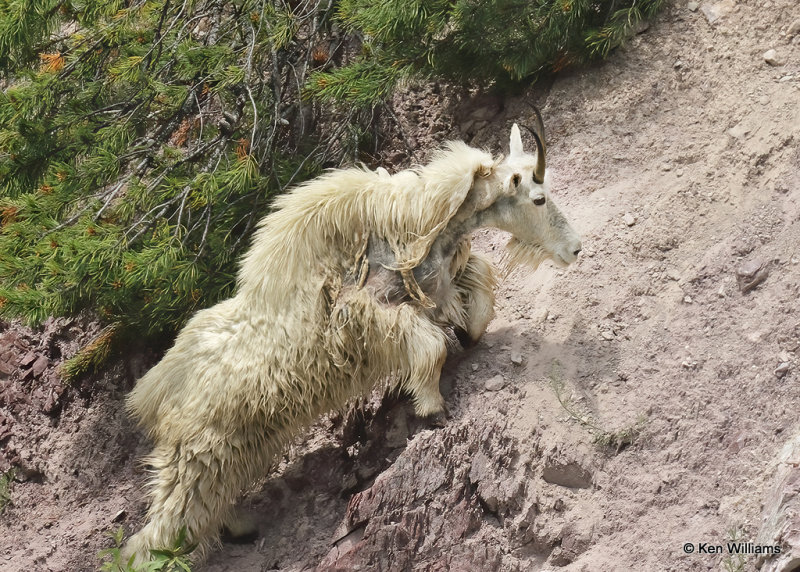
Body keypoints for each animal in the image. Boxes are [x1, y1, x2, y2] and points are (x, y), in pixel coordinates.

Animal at [122, 118, 580, 560]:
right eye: (538, 199)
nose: (575, 248)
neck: (406, 230)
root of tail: (152, 398)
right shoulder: (371, 318)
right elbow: (430, 345)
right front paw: (433, 409)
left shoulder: (434, 287)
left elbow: (479, 286)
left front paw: (469, 335)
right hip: (197, 456)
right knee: (163, 527)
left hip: (238, 447)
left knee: (215, 503)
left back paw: (242, 529)